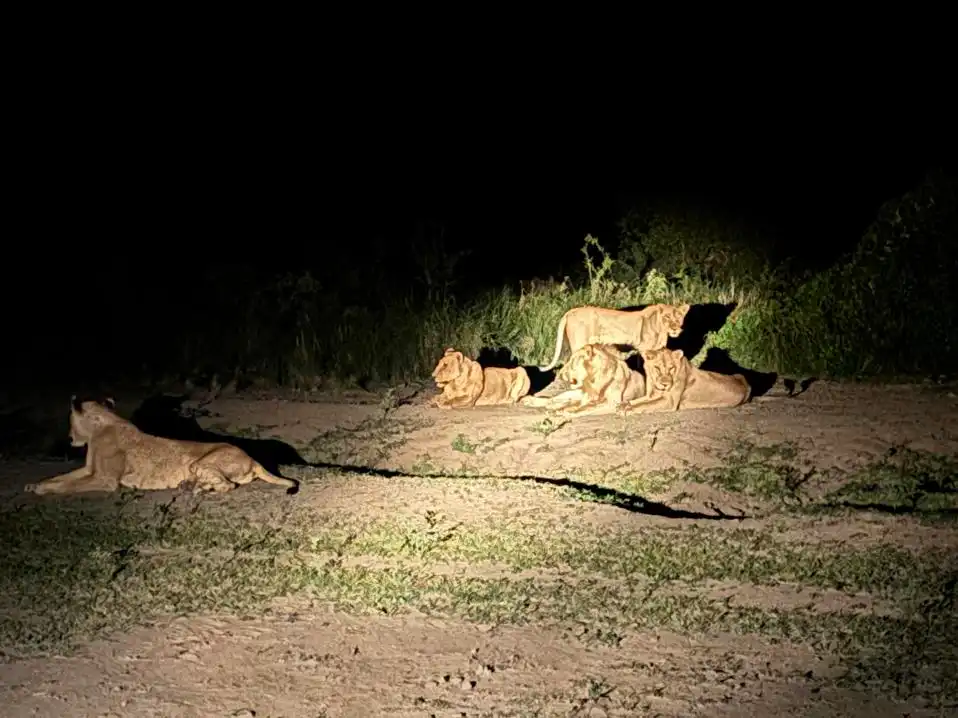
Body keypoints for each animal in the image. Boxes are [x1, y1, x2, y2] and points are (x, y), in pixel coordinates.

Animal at [24, 397, 299, 496]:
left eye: (70, 420)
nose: (70, 437)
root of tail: (253, 459)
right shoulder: (89, 470)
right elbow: (63, 477)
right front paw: (35, 484)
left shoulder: (105, 480)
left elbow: (69, 486)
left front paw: (42, 490)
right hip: (199, 467)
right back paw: (190, 486)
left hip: (201, 462)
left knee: (228, 485)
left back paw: (200, 491)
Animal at [539, 303, 691, 371]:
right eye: (667, 317)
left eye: (679, 317)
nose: (675, 328)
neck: (662, 330)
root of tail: (570, 311)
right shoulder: (644, 349)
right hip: (579, 344)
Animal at [620, 347, 751, 413]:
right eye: (657, 368)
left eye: (671, 368)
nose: (665, 385)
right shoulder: (651, 396)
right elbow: (639, 400)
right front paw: (624, 404)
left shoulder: (670, 401)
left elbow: (645, 405)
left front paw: (628, 409)